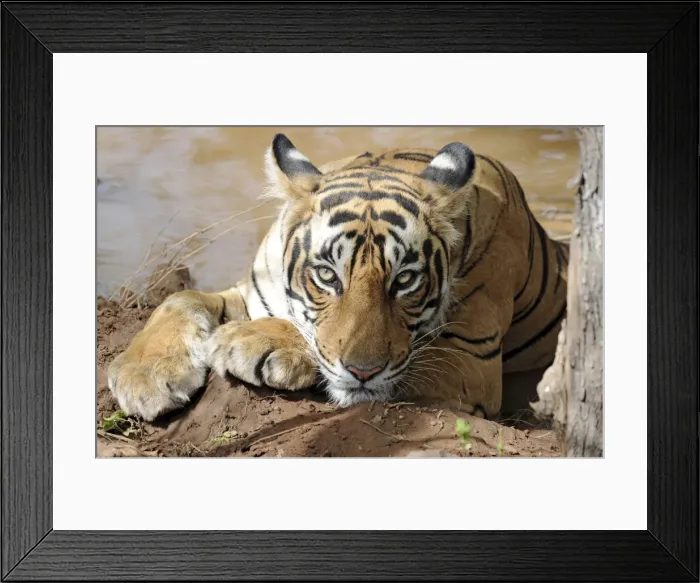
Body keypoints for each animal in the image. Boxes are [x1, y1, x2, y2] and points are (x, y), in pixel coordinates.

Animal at [107, 133, 569, 422]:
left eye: (405, 280)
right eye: (327, 276)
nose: (364, 372)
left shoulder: (470, 361)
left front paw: (254, 341)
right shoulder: (253, 292)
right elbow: (180, 298)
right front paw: (145, 375)